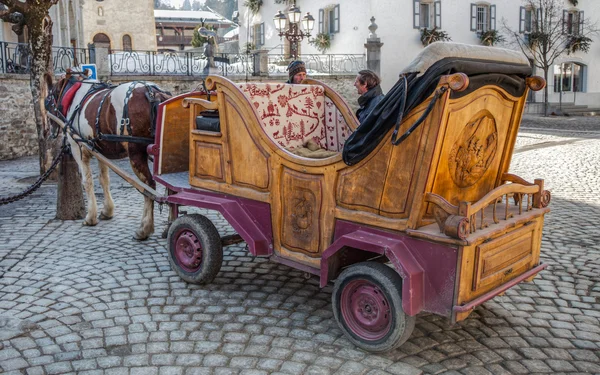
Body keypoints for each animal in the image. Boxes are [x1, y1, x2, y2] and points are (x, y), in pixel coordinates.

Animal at [45, 73, 169, 241]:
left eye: (47, 101)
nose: (50, 132)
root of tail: (153, 92)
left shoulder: (79, 148)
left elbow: (87, 181)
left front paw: (90, 217)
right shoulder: (100, 151)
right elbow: (104, 179)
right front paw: (107, 211)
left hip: (136, 153)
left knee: (149, 186)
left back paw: (145, 228)